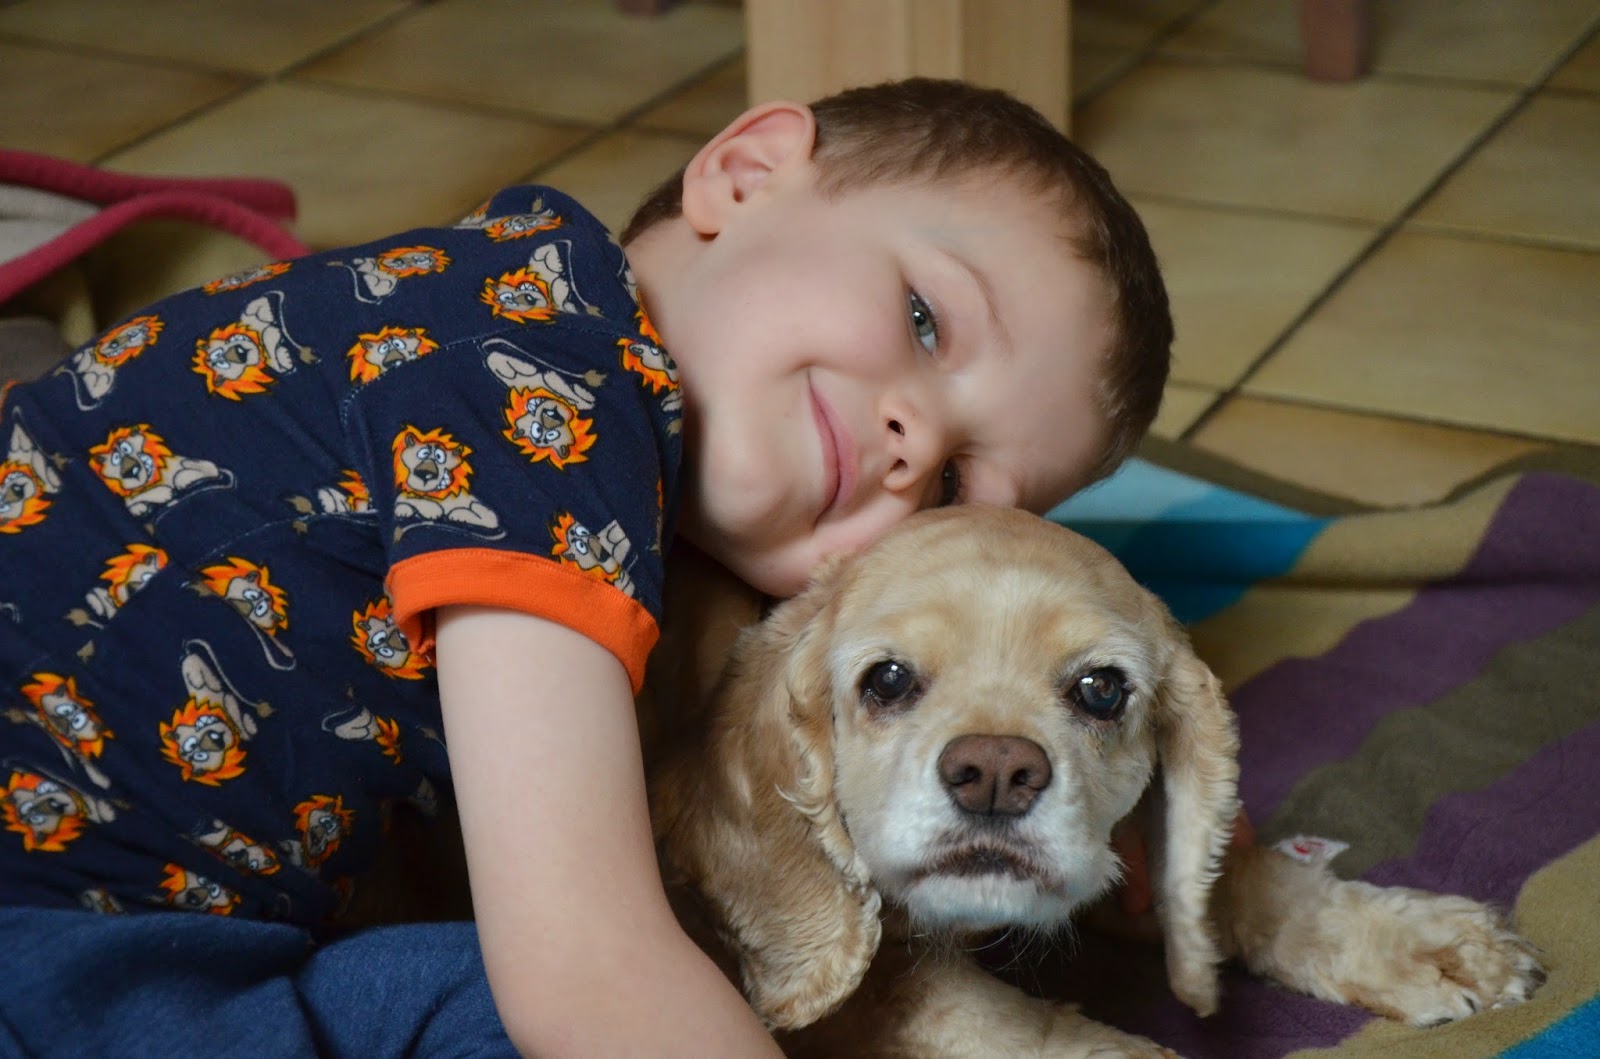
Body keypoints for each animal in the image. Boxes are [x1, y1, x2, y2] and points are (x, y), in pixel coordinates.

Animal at [650, 505, 1545, 1058]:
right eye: (888, 679)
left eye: (1101, 689)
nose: (996, 773)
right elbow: (948, 998)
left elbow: (1224, 880)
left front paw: (1423, 944)